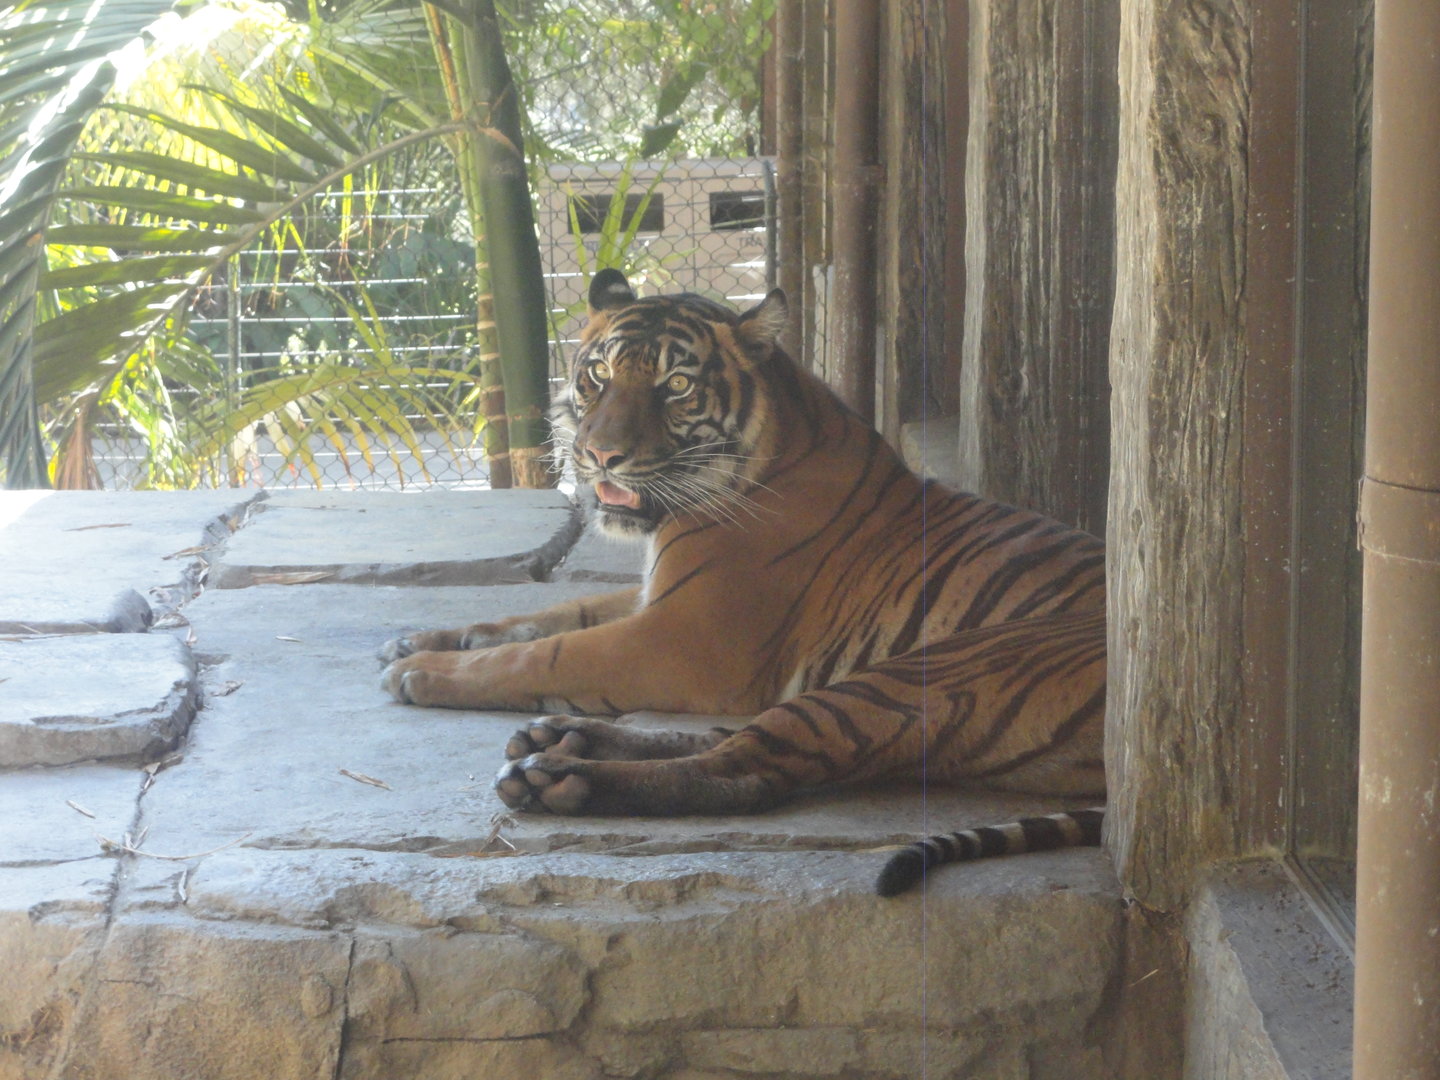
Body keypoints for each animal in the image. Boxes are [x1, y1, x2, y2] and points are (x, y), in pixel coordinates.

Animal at [379, 269, 1108, 895]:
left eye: (676, 385)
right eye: (599, 375)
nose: (600, 455)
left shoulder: (683, 638)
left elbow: (542, 652)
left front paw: (420, 673)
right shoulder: (653, 596)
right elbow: (545, 618)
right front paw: (416, 642)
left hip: (929, 671)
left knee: (748, 767)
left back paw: (557, 775)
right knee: (738, 739)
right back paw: (559, 738)